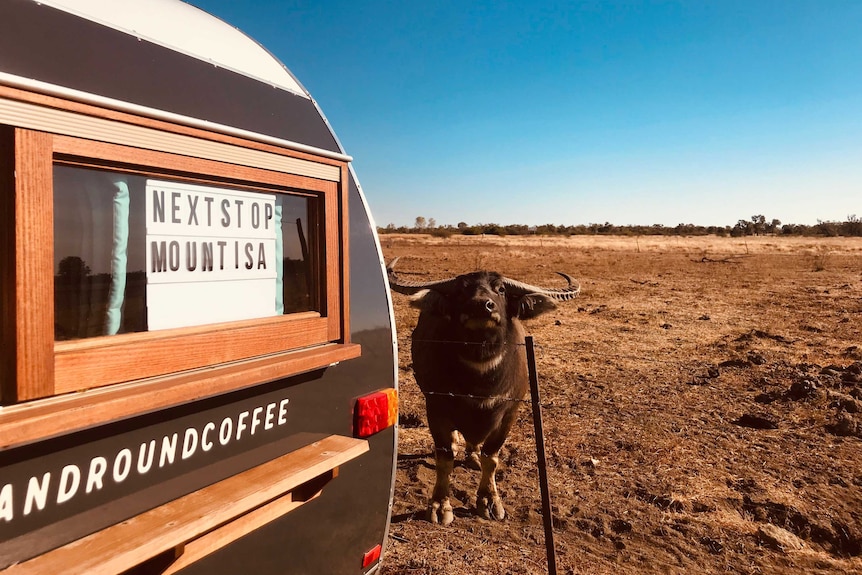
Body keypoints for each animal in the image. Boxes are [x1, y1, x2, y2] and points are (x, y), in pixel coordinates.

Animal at [386, 260, 580, 528]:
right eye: (461, 290)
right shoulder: (436, 407)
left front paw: (489, 501)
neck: (480, 377)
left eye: (501, 289)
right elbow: (444, 459)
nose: (481, 305)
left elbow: (492, 457)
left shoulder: (510, 412)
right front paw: (440, 505)